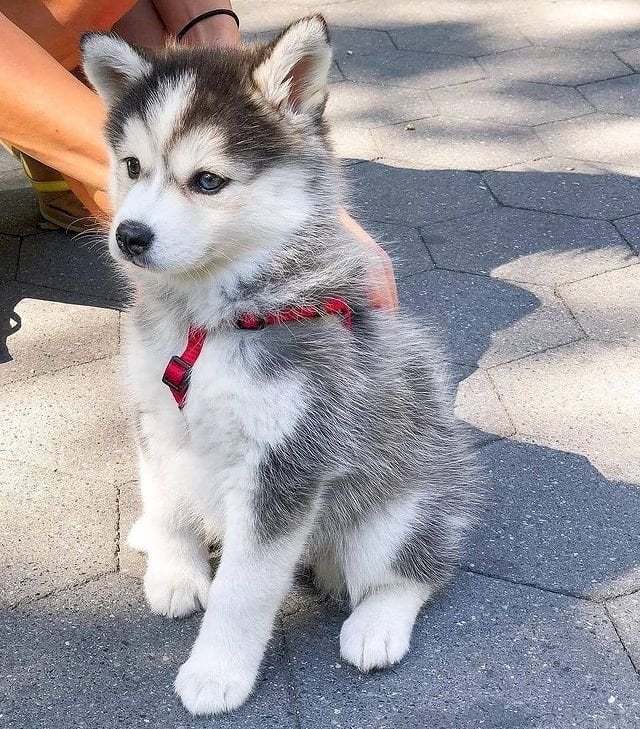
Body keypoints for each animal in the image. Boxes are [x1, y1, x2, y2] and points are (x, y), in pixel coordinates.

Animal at [81, 17, 480, 716]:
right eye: (131, 166)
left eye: (207, 181)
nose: (128, 235)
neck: (207, 324)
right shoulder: (155, 412)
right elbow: (167, 499)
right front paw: (174, 568)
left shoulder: (288, 457)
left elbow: (244, 587)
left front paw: (217, 671)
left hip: (398, 507)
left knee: (416, 568)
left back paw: (378, 624)